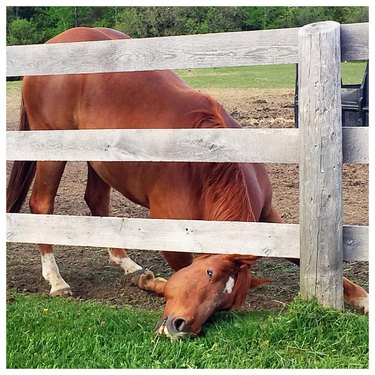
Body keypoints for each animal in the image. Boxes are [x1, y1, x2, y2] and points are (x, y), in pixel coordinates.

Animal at [7, 26, 368, 338]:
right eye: (209, 274)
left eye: (225, 304)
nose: (180, 327)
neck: (204, 164)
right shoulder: (172, 233)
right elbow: (173, 278)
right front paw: (151, 284)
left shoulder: (267, 218)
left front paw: (361, 298)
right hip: (51, 152)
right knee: (42, 205)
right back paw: (57, 280)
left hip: (100, 160)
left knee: (96, 201)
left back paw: (126, 263)